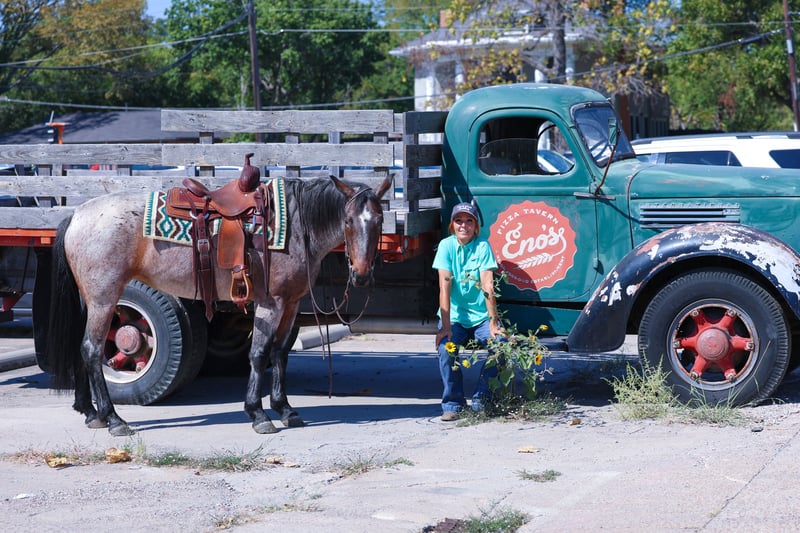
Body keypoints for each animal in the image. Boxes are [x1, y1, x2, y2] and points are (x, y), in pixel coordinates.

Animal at [45, 173, 391, 436]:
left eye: (379, 220)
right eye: (347, 221)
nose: (361, 276)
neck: (296, 225)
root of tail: (76, 215)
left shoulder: (292, 303)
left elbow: (280, 353)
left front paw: (285, 410)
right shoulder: (271, 303)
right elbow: (259, 354)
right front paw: (258, 414)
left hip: (91, 300)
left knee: (81, 348)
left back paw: (92, 414)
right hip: (105, 298)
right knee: (93, 349)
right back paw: (114, 418)